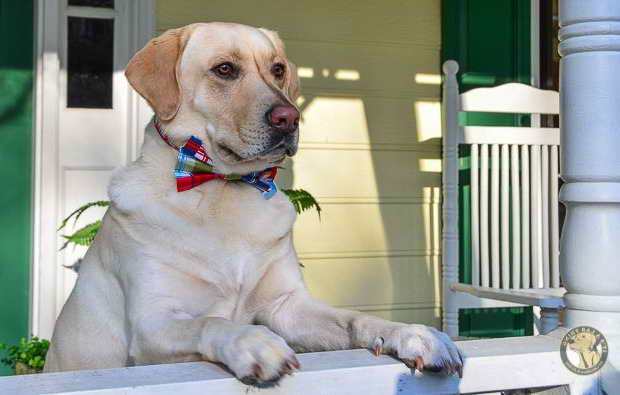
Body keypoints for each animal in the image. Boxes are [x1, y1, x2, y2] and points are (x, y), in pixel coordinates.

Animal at [46, 21, 462, 386]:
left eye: (278, 70)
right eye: (224, 69)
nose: (290, 118)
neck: (222, 191)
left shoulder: (287, 306)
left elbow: (356, 319)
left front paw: (416, 334)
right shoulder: (152, 324)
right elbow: (211, 322)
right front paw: (254, 342)